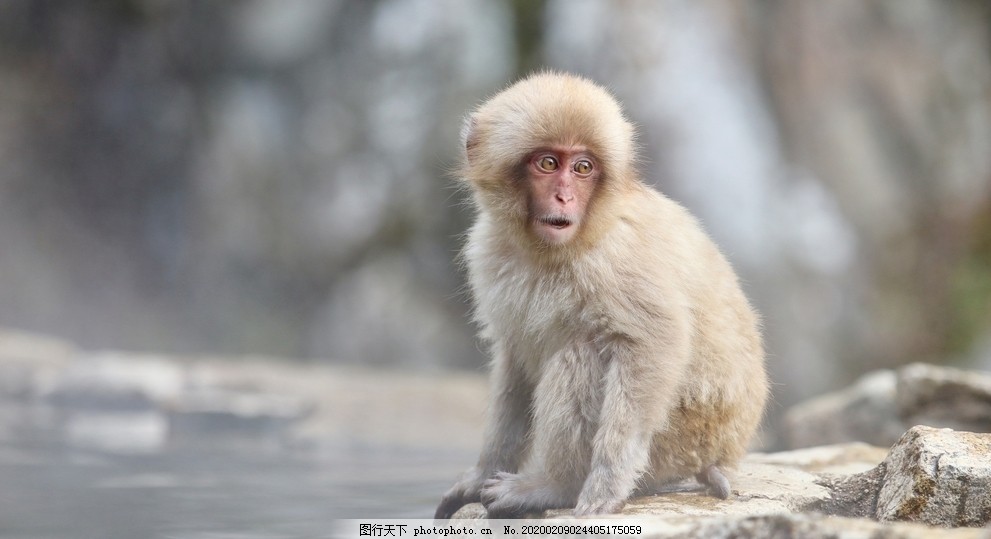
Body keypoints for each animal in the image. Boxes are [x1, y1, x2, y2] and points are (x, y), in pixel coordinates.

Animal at [438, 71, 772, 520]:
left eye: (583, 168)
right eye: (548, 163)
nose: (564, 197)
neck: (556, 249)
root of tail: (725, 455)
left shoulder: (616, 257)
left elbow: (653, 343)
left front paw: (604, 485)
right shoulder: (489, 252)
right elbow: (514, 358)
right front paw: (480, 475)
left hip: (681, 439)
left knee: (583, 352)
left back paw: (556, 486)